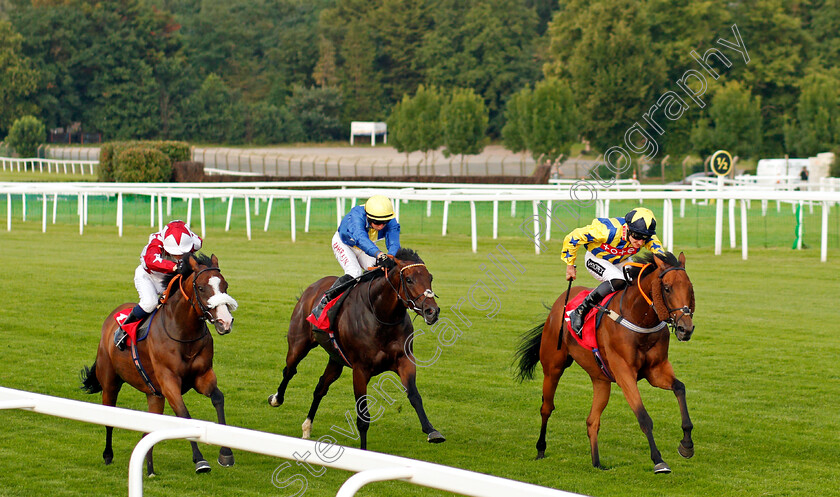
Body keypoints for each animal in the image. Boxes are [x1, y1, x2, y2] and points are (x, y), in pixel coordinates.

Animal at [80, 254, 238, 474]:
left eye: (225, 285)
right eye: (201, 288)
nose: (225, 322)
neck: (184, 334)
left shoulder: (203, 375)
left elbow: (218, 398)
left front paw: (226, 453)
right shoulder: (169, 380)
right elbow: (184, 415)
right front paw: (200, 460)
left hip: (154, 394)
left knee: (148, 430)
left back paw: (150, 470)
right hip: (110, 382)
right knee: (109, 418)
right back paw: (108, 455)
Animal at [268, 248, 446, 450]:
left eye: (430, 277)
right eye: (409, 279)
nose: (432, 311)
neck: (380, 316)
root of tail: (313, 287)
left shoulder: (404, 360)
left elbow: (414, 395)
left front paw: (432, 431)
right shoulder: (360, 370)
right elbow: (363, 417)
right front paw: (363, 451)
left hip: (336, 359)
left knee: (321, 387)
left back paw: (307, 427)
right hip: (299, 343)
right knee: (289, 370)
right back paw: (276, 399)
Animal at [516, 252, 700, 472]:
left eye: (690, 288)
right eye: (667, 288)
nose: (685, 328)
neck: (639, 318)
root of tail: (559, 303)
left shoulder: (656, 370)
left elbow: (680, 388)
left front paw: (687, 445)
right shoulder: (624, 373)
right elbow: (643, 416)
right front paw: (658, 460)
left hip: (600, 379)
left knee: (592, 421)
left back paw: (597, 463)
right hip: (553, 367)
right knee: (546, 407)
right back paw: (541, 449)